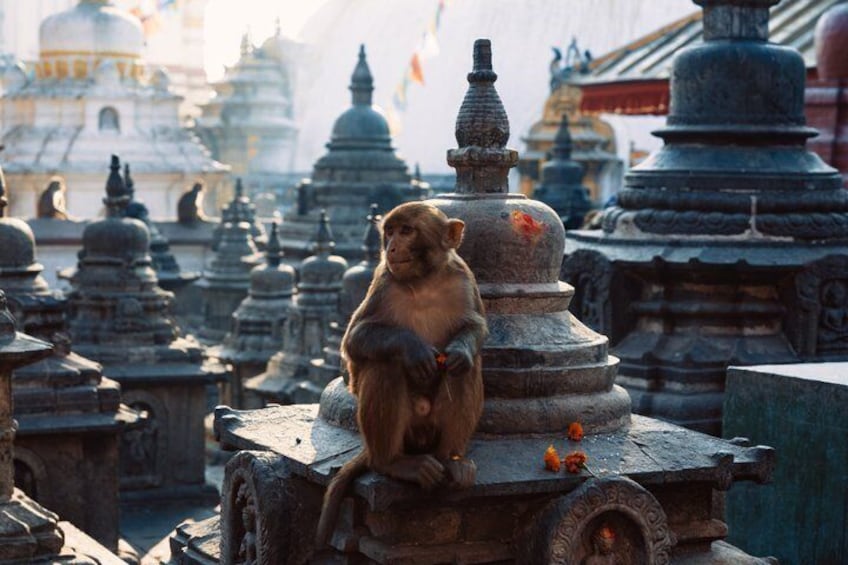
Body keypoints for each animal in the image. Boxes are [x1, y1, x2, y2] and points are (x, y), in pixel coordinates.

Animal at [315, 201, 488, 546]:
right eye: (390, 231)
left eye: (407, 231)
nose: (391, 247)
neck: (425, 281)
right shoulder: (384, 282)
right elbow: (355, 338)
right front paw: (413, 349)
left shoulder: (464, 278)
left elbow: (474, 327)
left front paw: (460, 350)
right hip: (406, 430)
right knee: (385, 367)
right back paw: (393, 463)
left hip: (431, 430)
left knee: (464, 370)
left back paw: (452, 460)